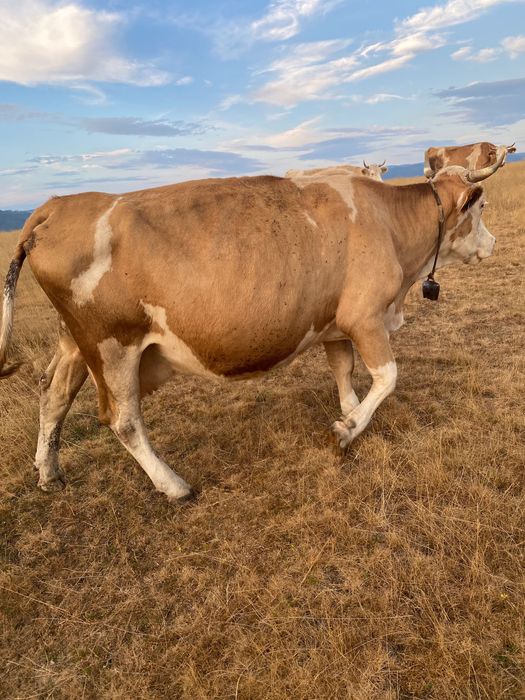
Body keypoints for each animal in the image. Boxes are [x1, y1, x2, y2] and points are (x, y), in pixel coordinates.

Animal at [0, 151, 505, 501]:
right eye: (480, 210)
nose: (494, 243)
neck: (388, 221)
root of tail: (59, 205)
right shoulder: (364, 317)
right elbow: (387, 377)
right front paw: (346, 430)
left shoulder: (333, 324)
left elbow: (344, 374)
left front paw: (350, 416)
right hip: (112, 344)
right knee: (123, 420)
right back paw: (174, 486)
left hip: (74, 342)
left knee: (53, 395)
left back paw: (49, 473)